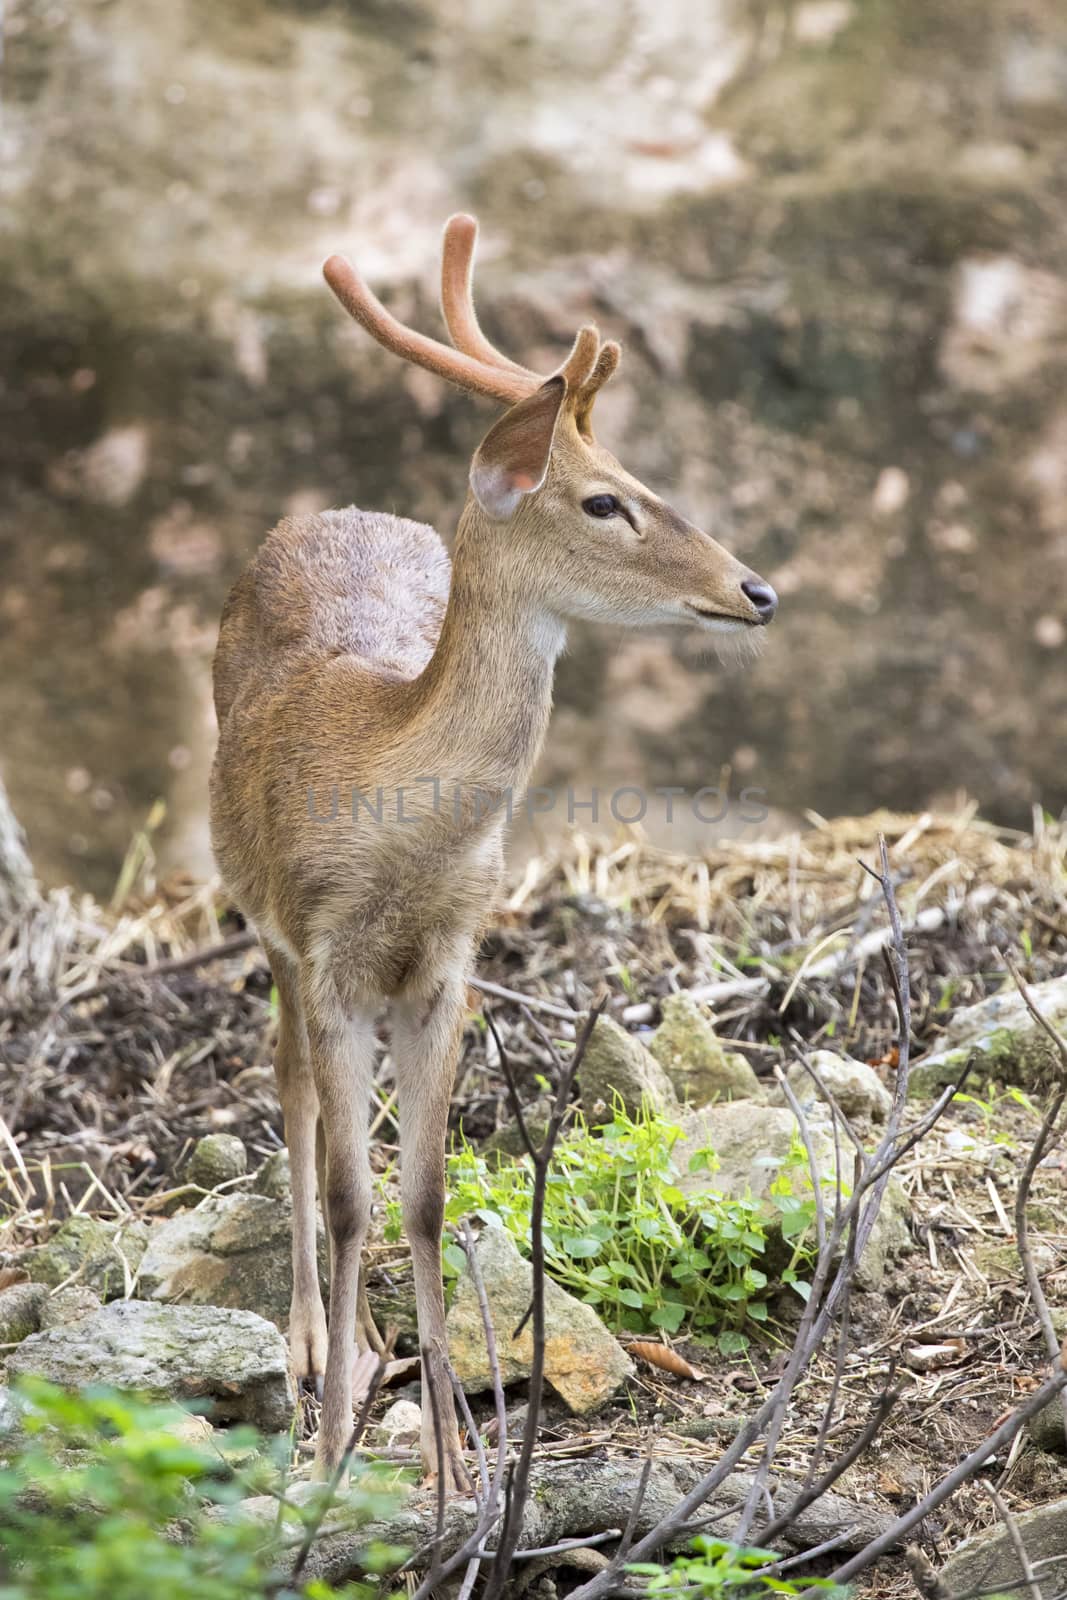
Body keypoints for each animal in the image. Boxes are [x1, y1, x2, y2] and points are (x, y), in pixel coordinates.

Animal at [211, 212, 777, 1484]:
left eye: (646, 481)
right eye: (606, 503)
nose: (756, 589)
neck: (393, 819)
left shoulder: (448, 963)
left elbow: (420, 1196)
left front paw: (455, 1465)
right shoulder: (323, 948)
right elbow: (349, 1193)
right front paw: (333, 1451)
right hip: (260, 920)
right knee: (292, 1095)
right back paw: (310, 1345)